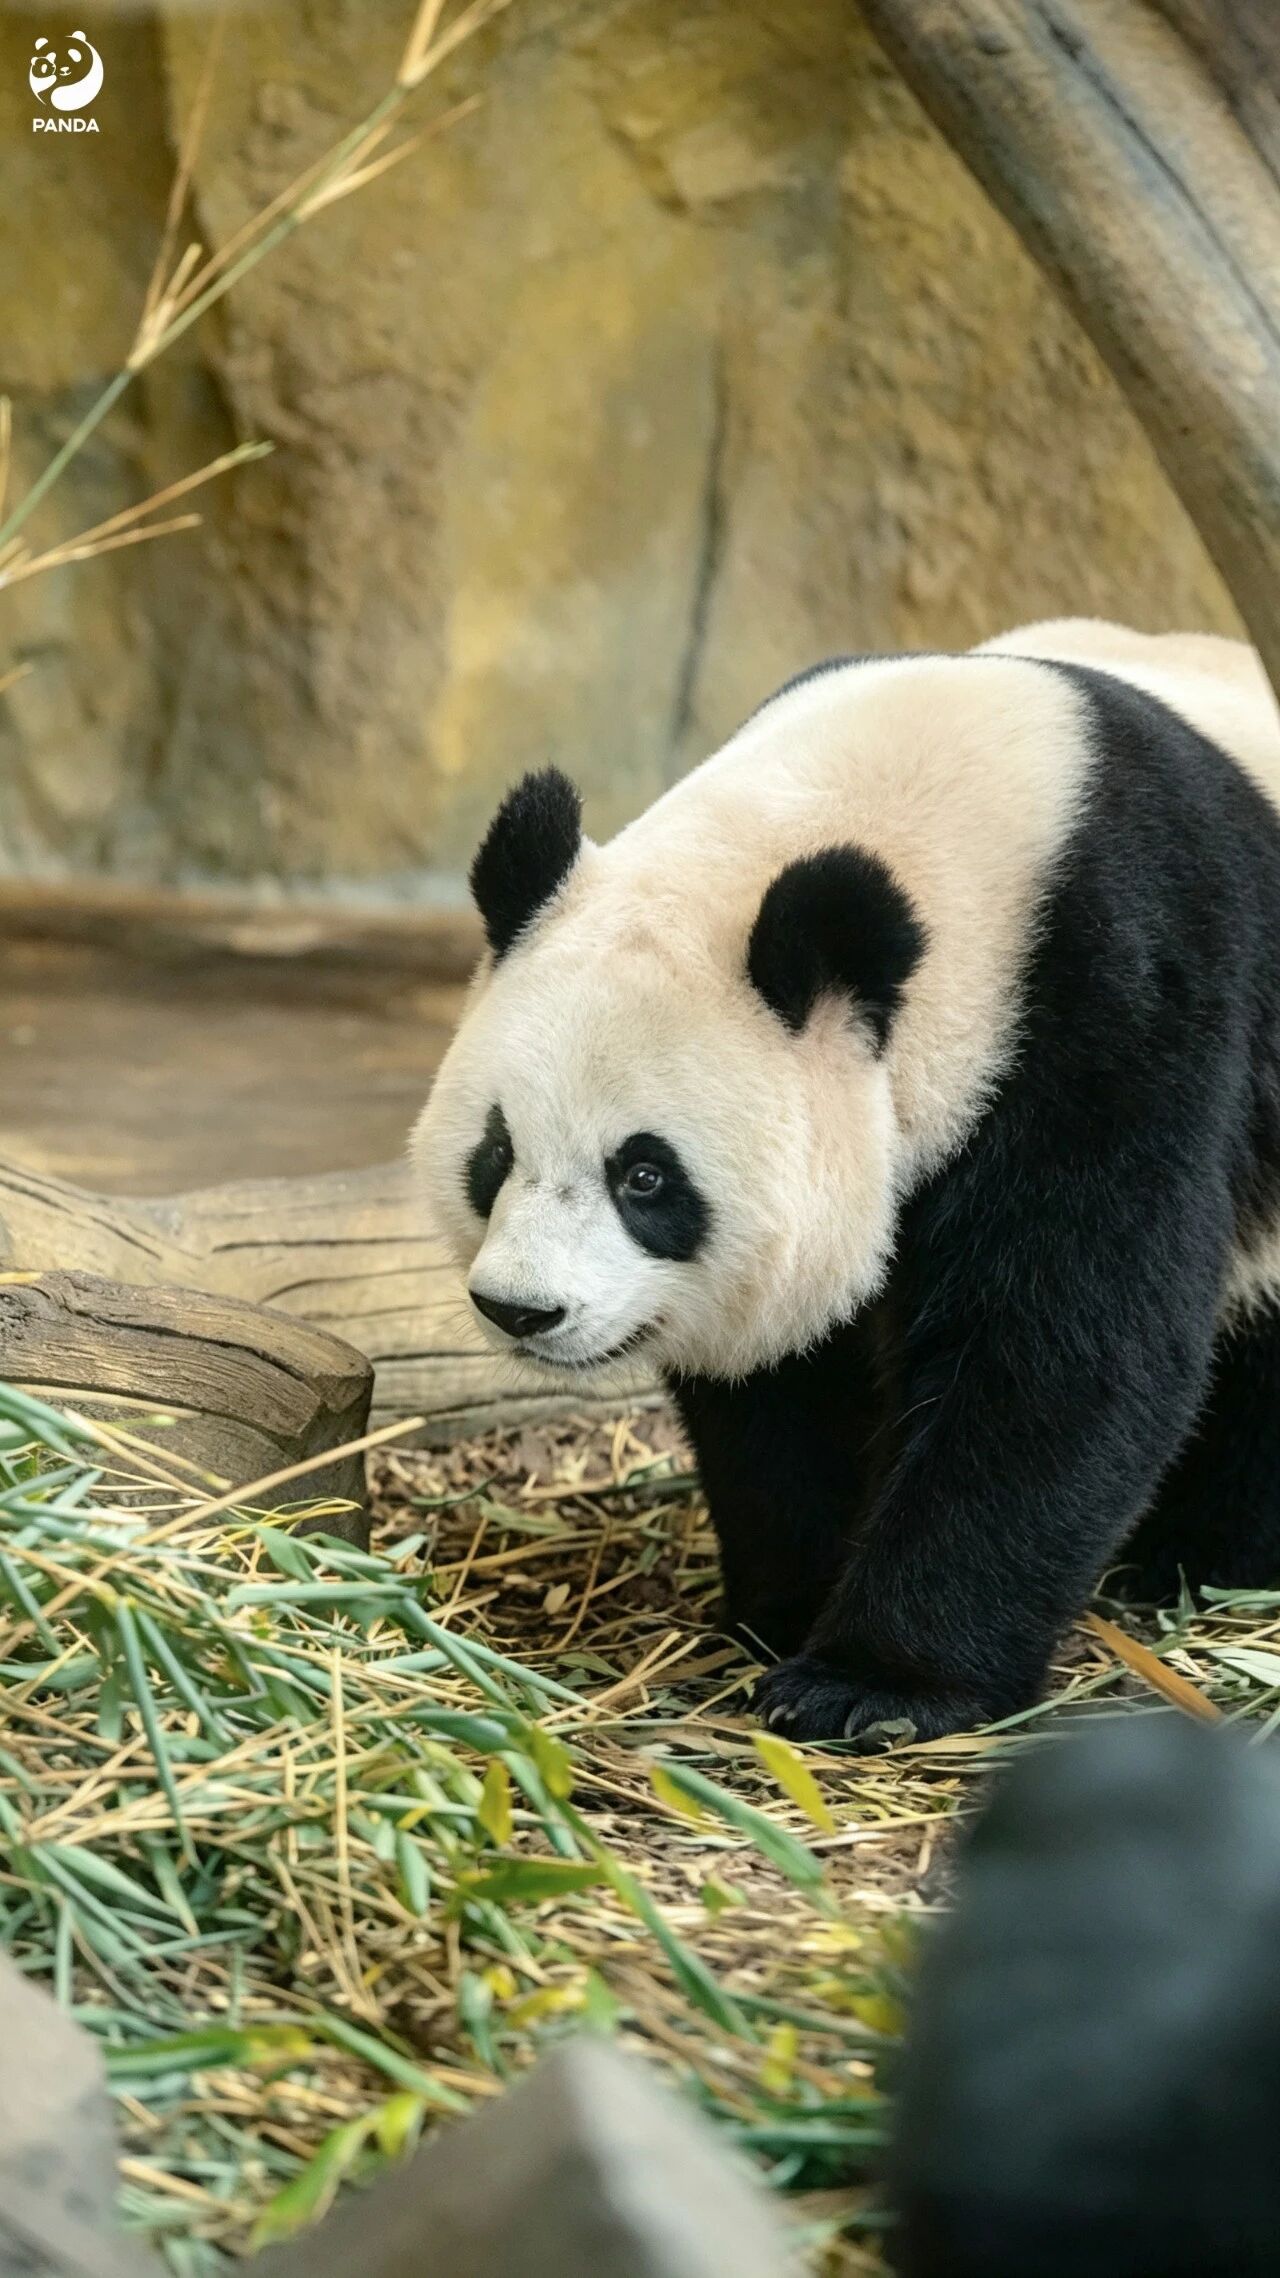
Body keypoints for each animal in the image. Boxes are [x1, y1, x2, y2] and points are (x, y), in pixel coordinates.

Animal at [412, 620, 1280, 1745]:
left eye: (645, 1176)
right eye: (496, 1153)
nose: (522, 1310)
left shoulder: (1120, 1002)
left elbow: (1064, 1346)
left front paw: (875, 1682)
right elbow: (782, 1381)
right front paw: (788, 1604)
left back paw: (1202, 1556)